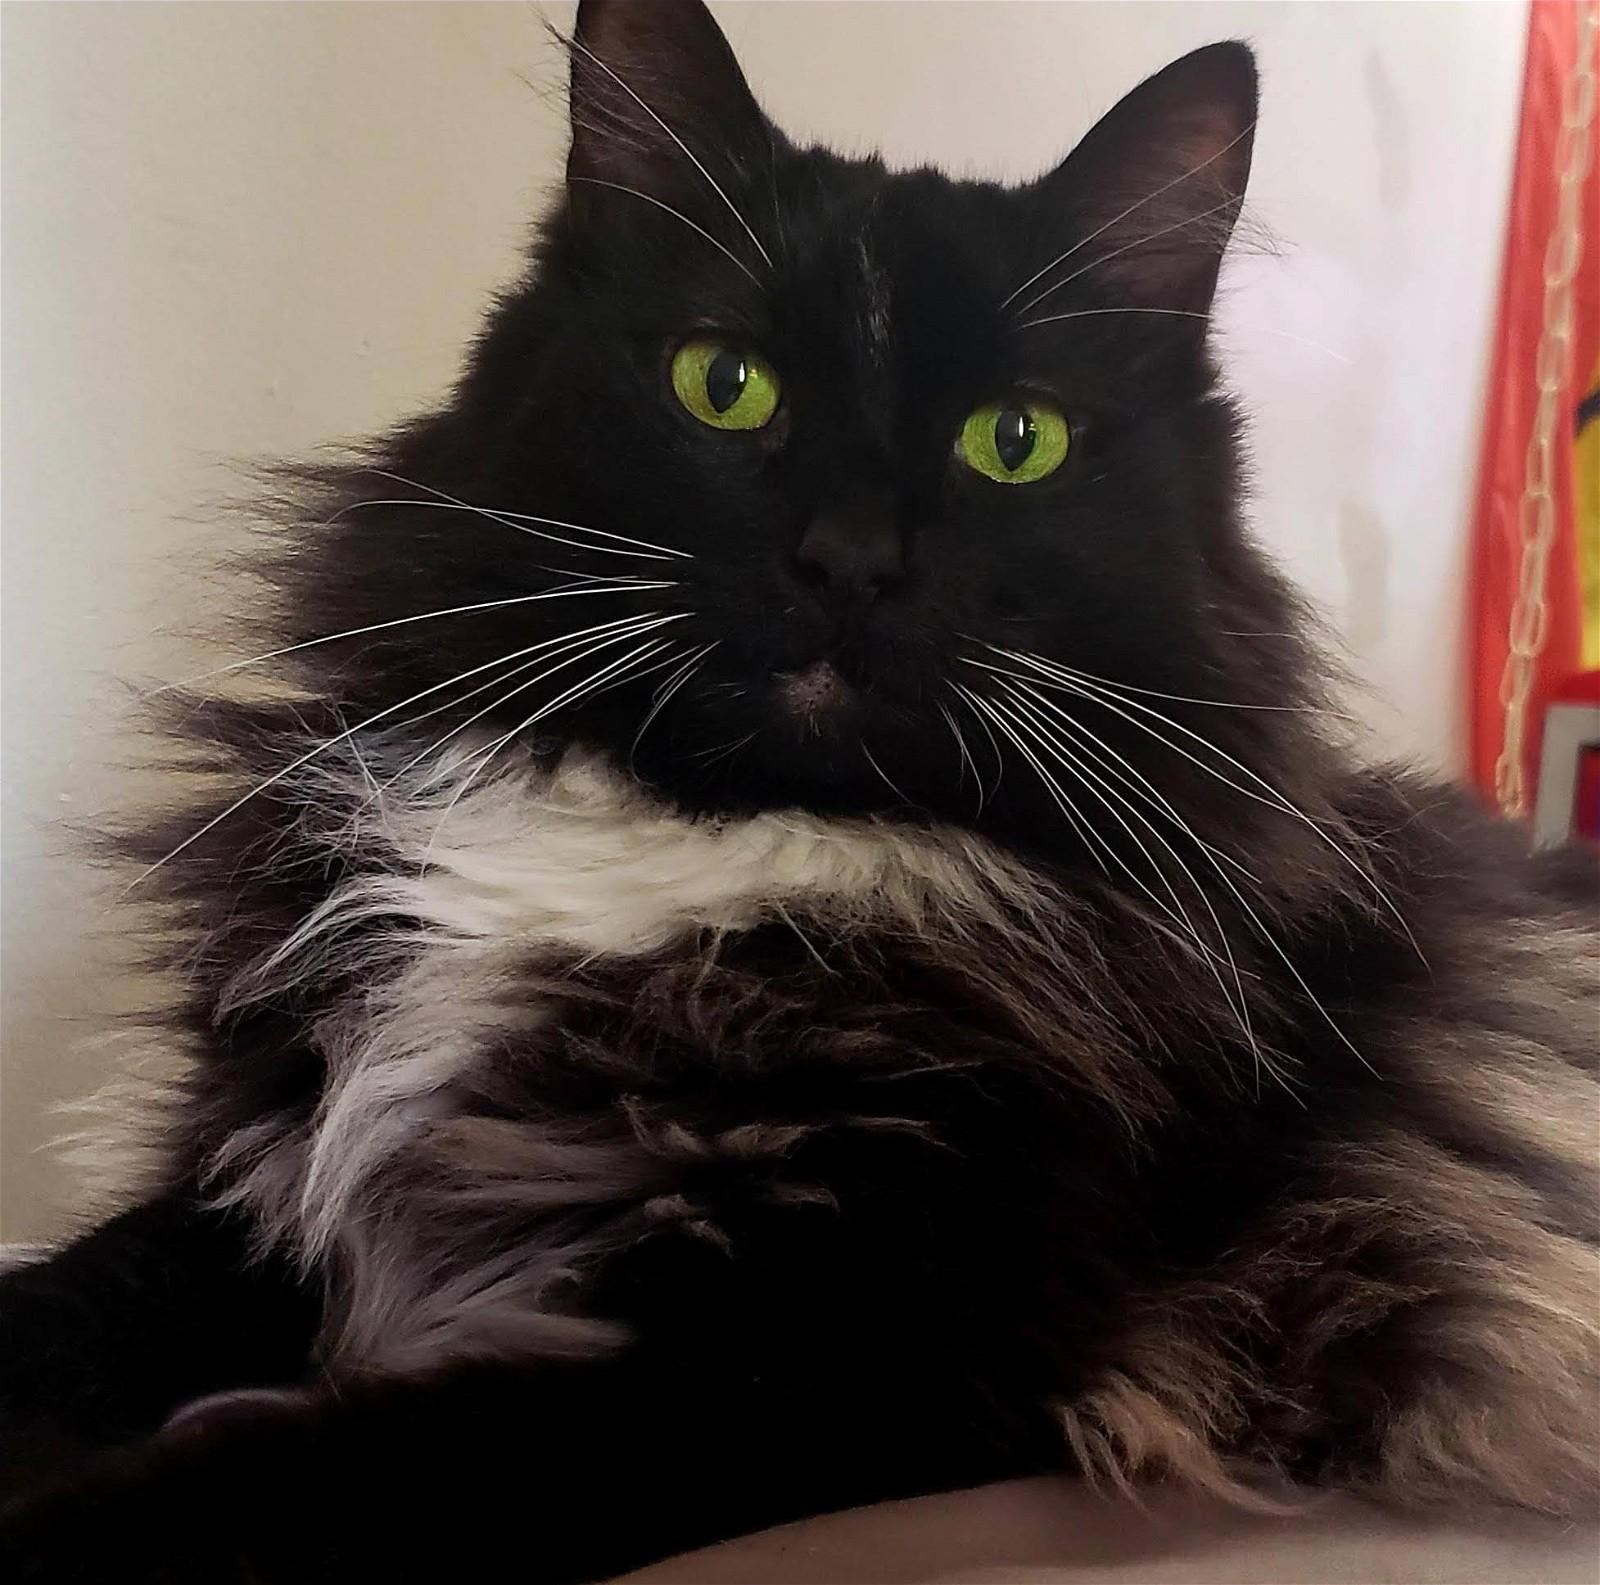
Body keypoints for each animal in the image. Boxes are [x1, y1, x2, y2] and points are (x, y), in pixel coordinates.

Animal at [3, 0, 1600, 1580]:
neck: (710, 841)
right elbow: (71, 1301)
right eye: (726, 385)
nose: (850, 558)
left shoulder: (846, 1348)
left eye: (1015, 439)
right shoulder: (261, 1178)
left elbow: (318, 1476)